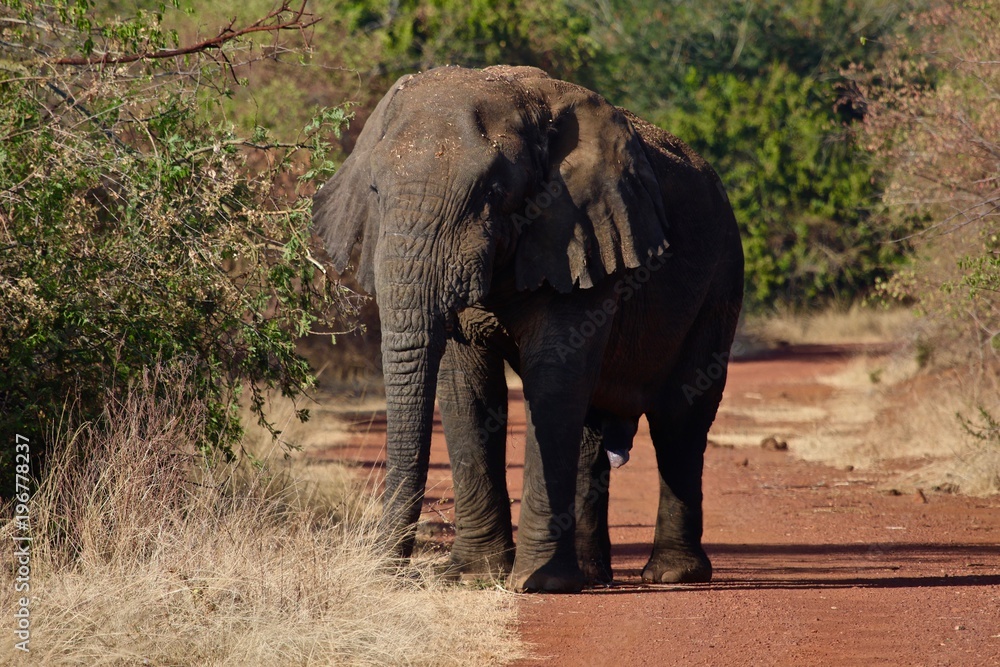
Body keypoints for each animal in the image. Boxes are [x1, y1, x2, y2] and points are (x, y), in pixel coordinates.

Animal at [312, 65, 743, 592]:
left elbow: (552, 377)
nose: (388, 576)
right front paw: (475, 577)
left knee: (681, 416)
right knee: (593, 427)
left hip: (721, 278)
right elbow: (466, 386)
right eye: (374, 192)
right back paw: (592, 576)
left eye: (492, 194)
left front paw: (538, 584)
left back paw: (669, 575)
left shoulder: (581, 229)